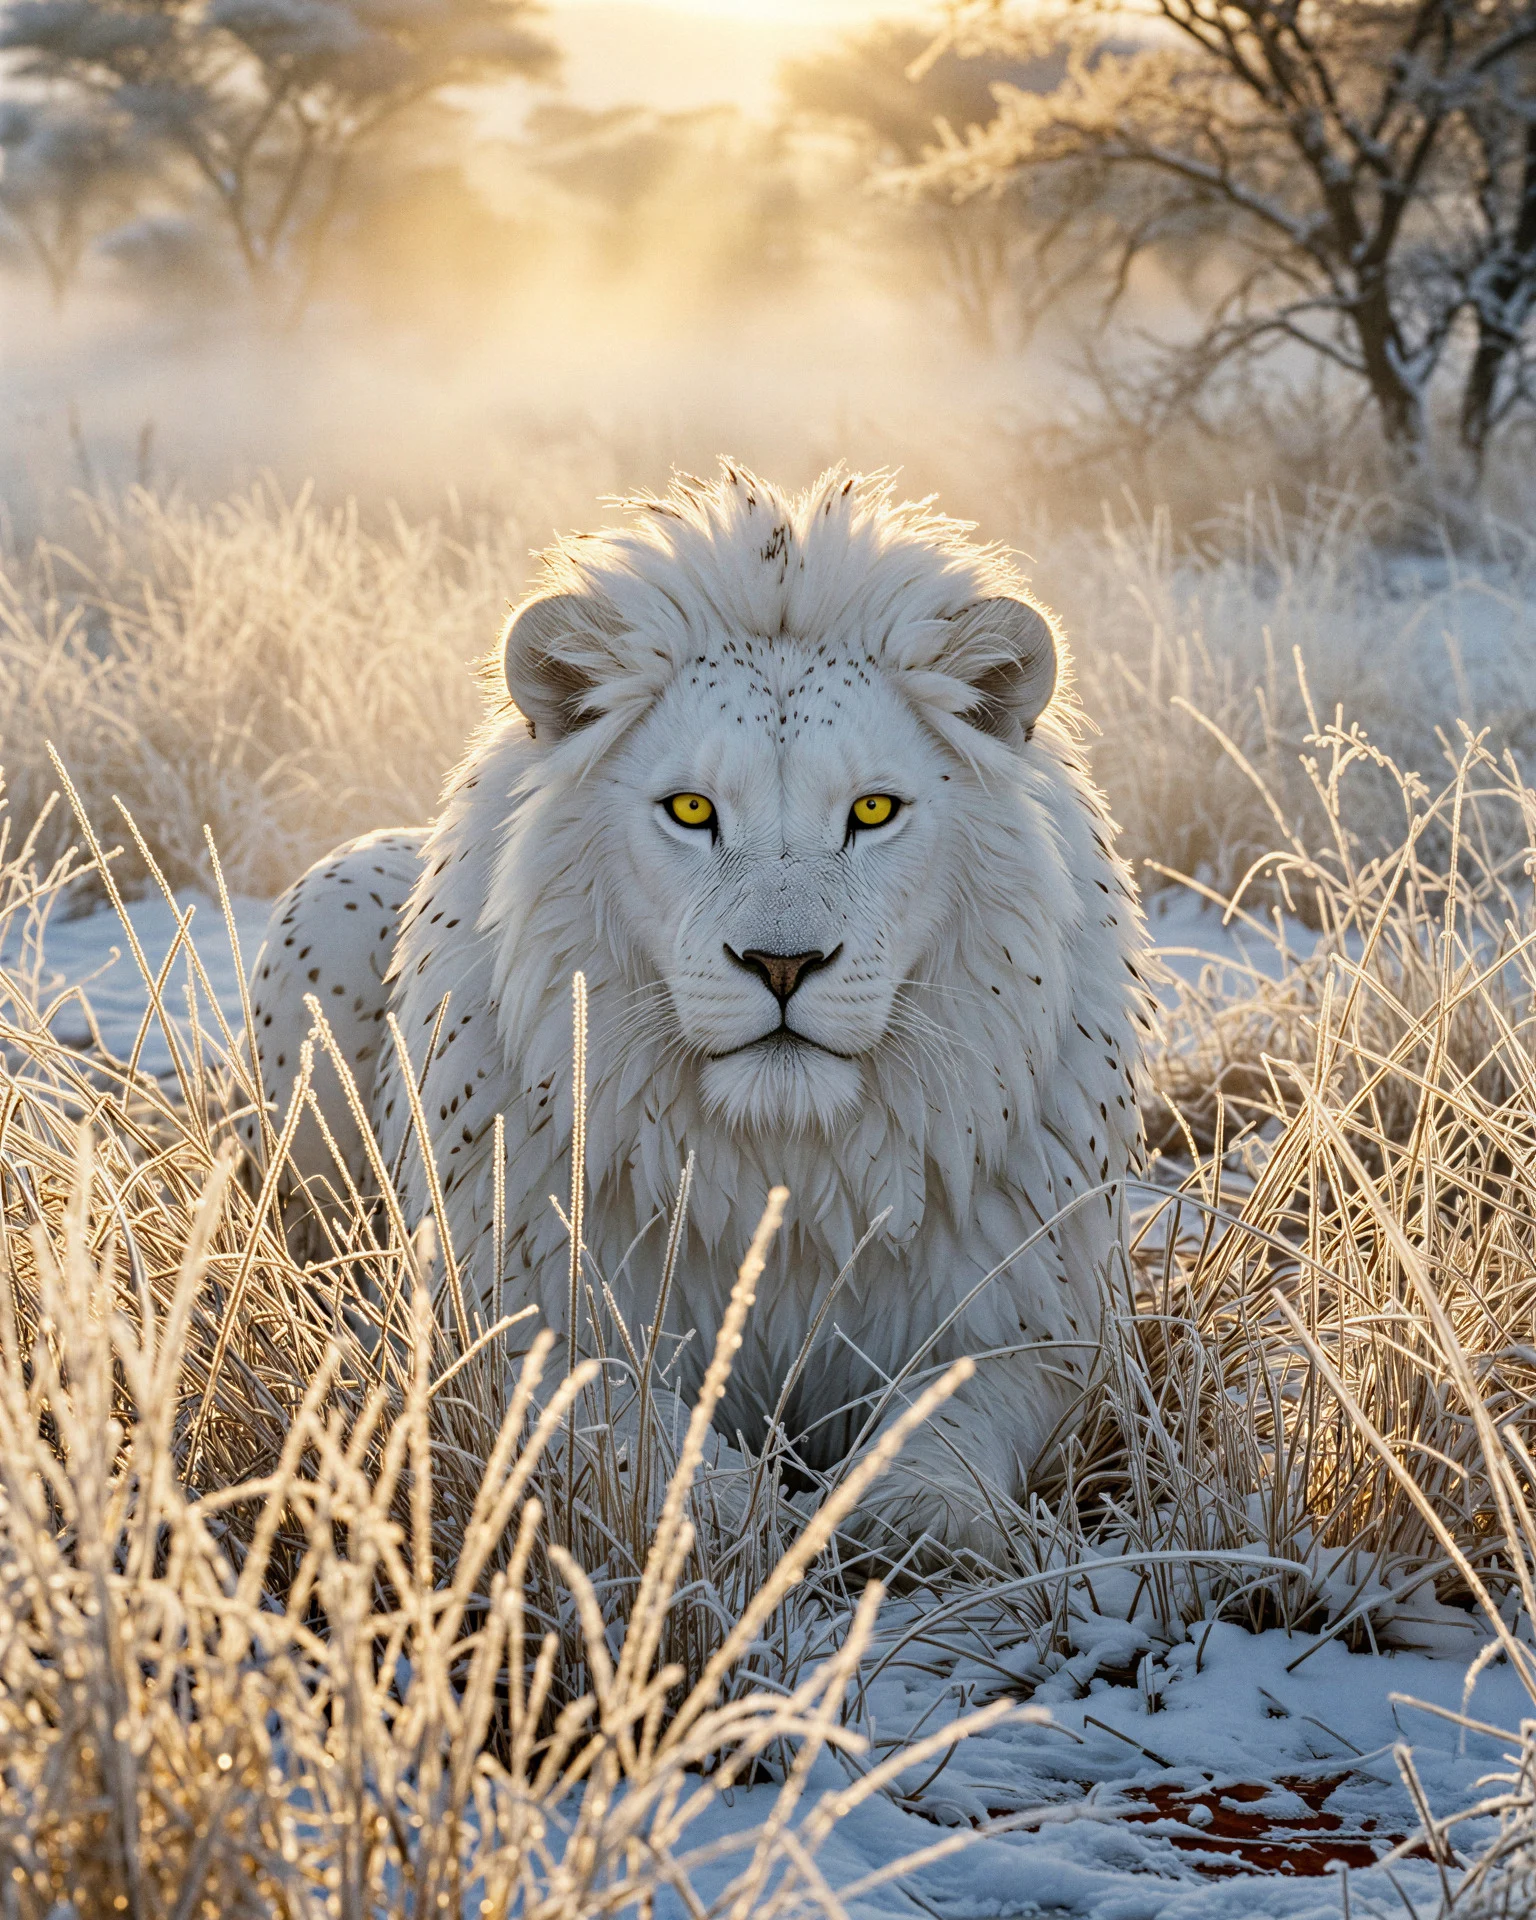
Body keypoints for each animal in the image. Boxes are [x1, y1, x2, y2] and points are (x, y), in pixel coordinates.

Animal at [241, 465, 1152, 1556]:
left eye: (873, 810)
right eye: (691, 810)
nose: (783, 962)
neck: (787, 1168)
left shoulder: (1040, 1325)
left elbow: (955, 1419)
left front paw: (912, 1515)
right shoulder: (516, 1317)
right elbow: (627, 1419)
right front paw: (728, 1513)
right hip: (323, 913)